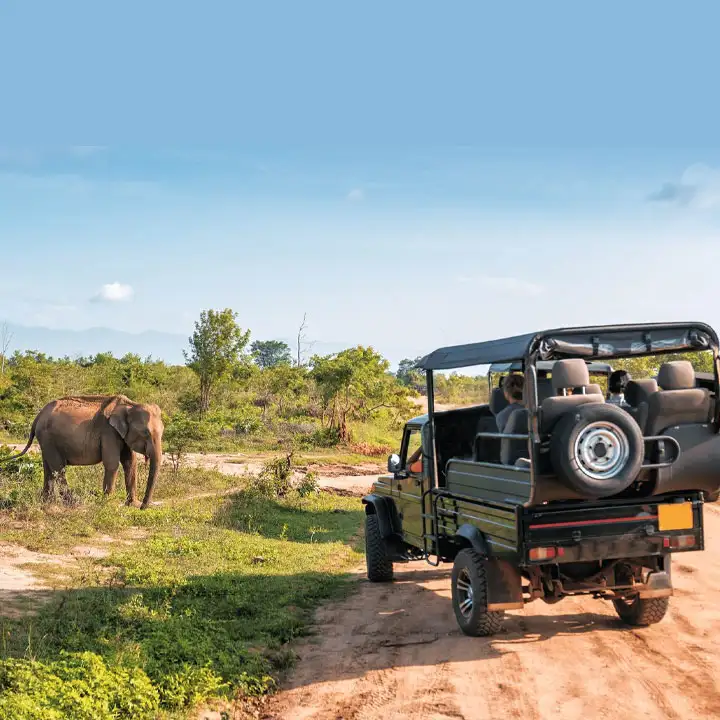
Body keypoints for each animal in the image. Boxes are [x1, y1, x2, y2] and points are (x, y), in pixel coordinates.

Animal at [3, 396, 163, 510]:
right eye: (146, 433)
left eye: (162, 432)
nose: (143, 507)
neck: (130, 405)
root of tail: (38, 416)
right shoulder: (108, 432)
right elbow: (112, 463)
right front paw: (108, 504)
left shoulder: (121, 435)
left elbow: (130, 462)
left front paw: (132, 504)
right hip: (48, 438)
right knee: (58, 468)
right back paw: (73, 503)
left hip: (45, 440)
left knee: (48, 468)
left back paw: (47, 502)